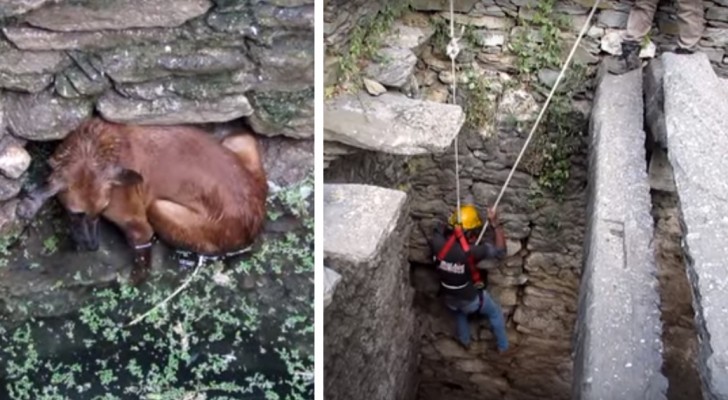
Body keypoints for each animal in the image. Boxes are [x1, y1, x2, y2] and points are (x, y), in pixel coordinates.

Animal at [16, 117, 268, 282]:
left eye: (102, 211)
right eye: (77, 214)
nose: (93, 246)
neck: (97, 149)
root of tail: (253, 225)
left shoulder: (139, 228)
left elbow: (140, 264)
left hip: (159, 208)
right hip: (240, 139)